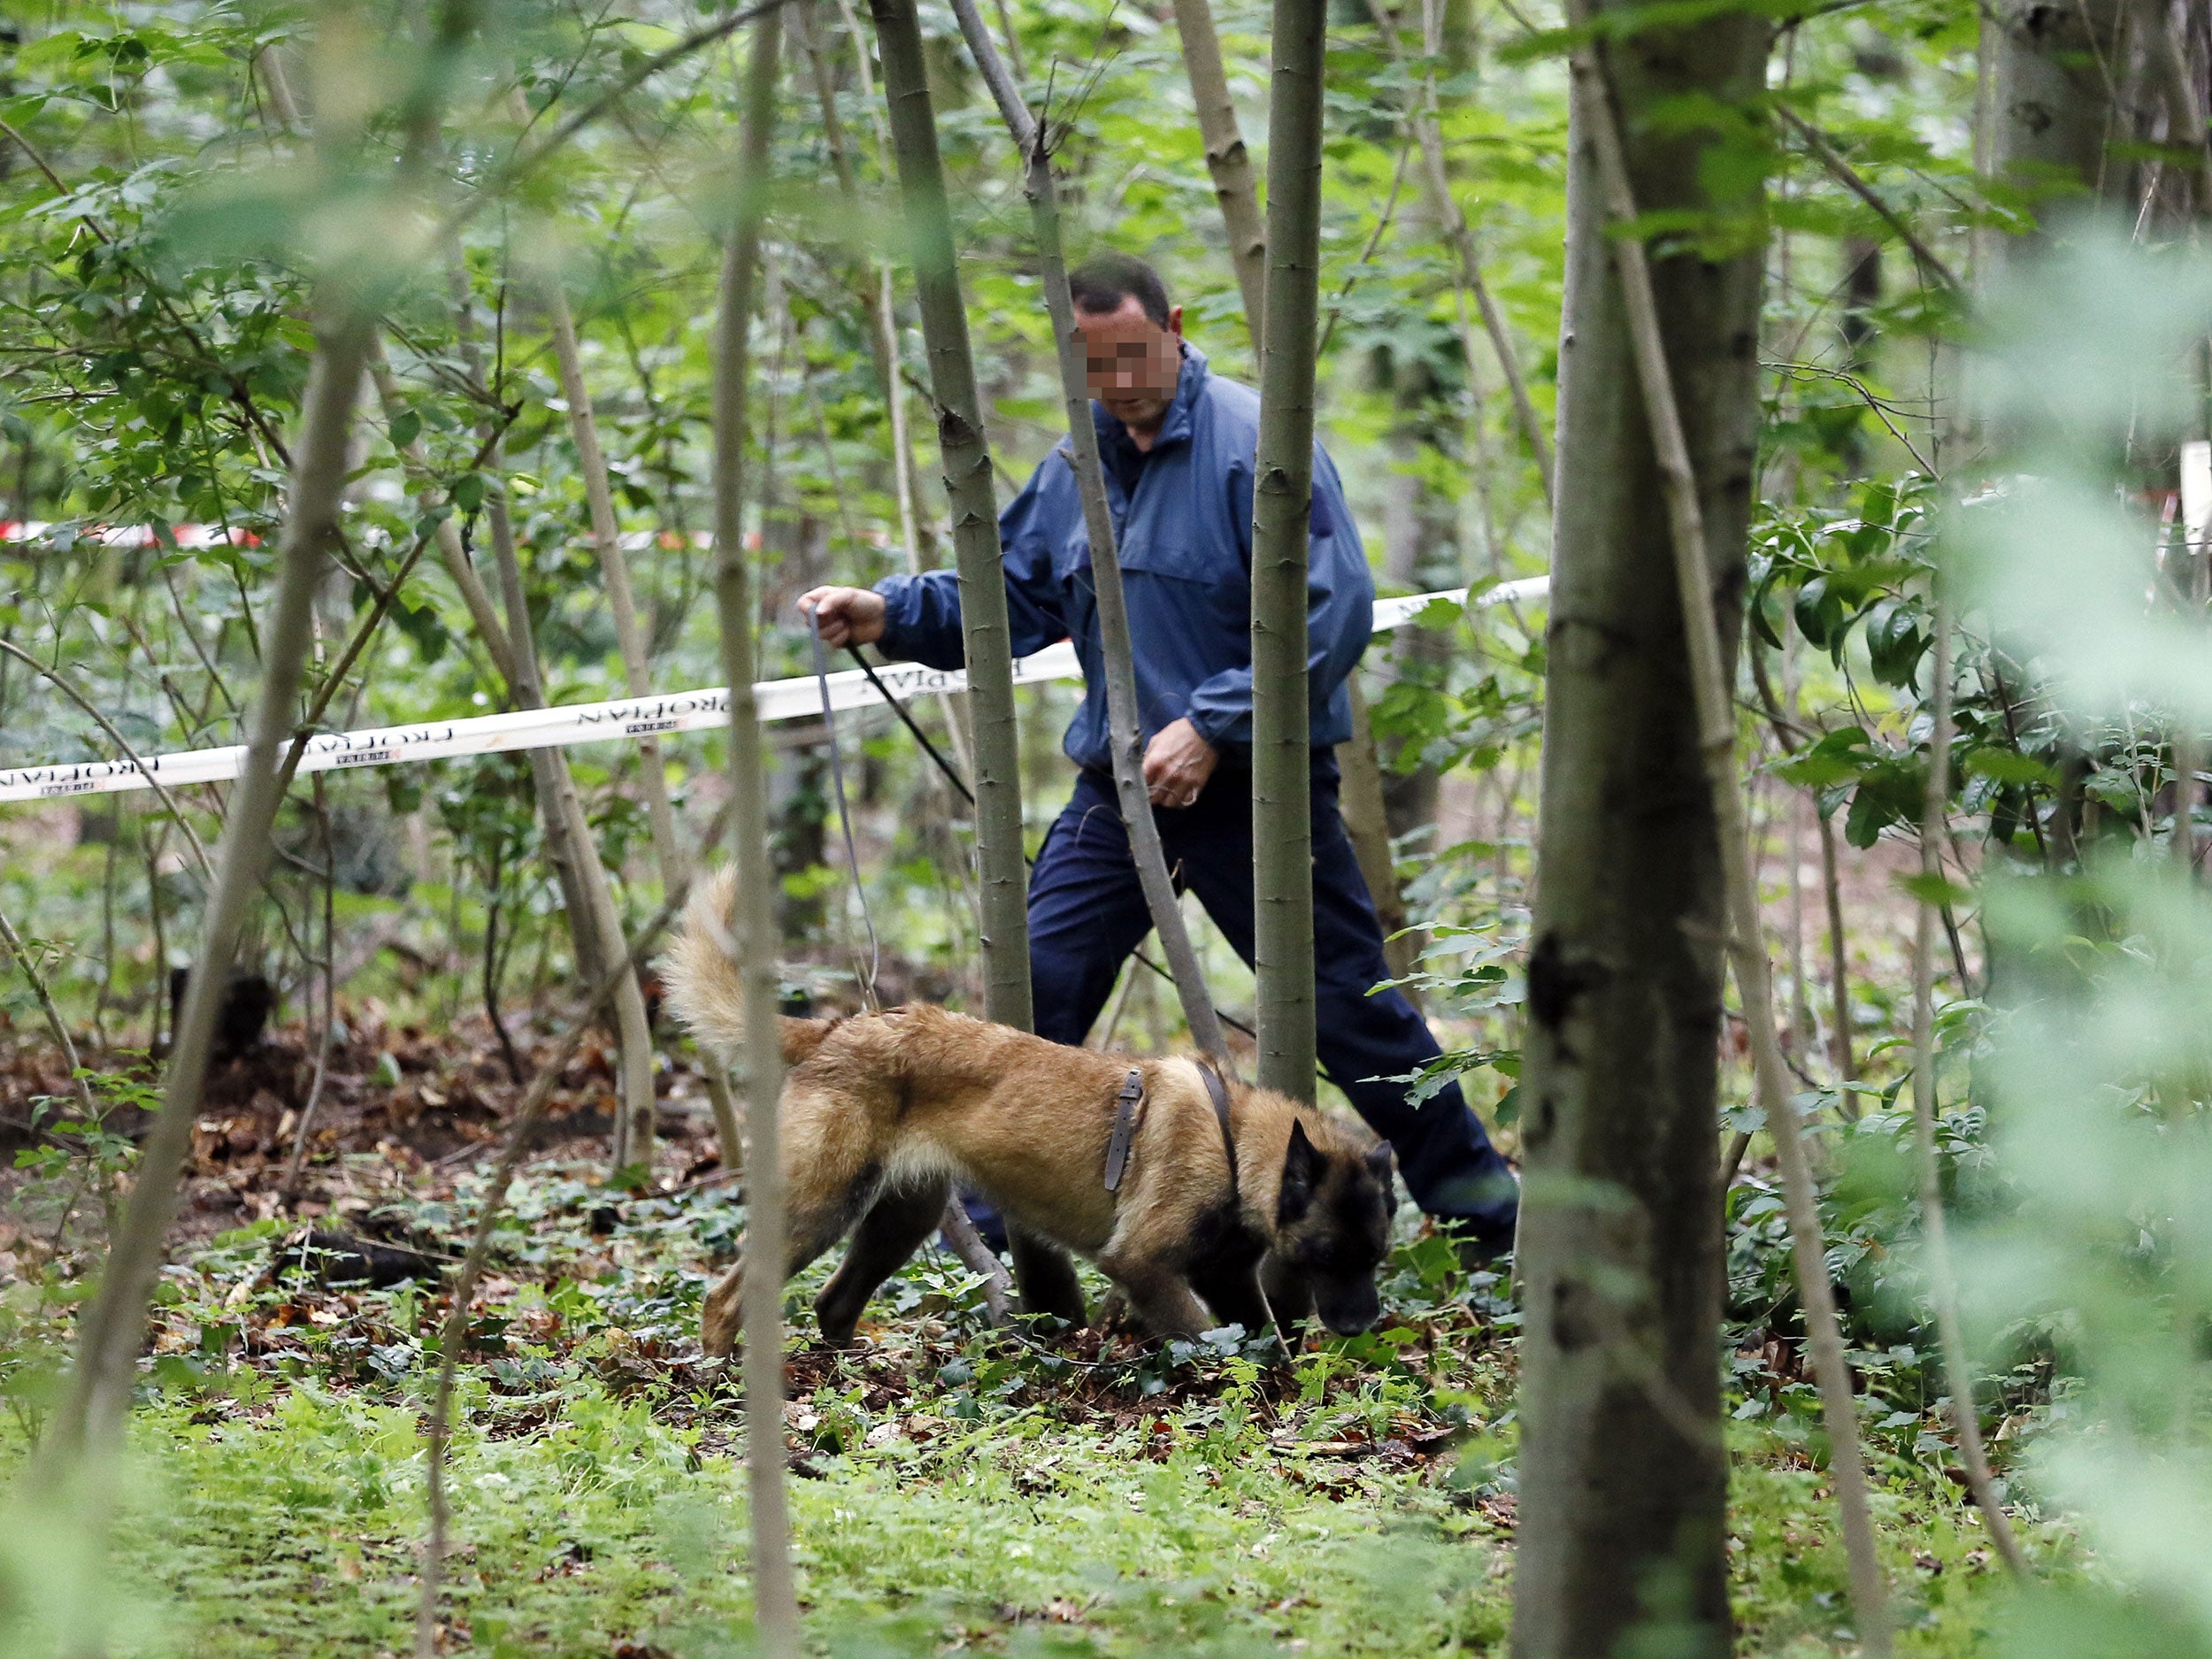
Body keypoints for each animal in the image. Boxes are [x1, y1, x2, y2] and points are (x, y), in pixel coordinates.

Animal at [655, 872, 1389, 1354]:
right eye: (1327, 1253)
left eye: (1377, 1255)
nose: (1360, 1327)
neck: (1230, 1135)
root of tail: (838, 1028)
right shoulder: (1143, 1264)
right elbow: (1207, 1339)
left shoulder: (1227, 1274)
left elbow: (1262, 1340)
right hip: (818, 1208)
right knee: (725, 1299)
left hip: (900, 1219)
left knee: (832, 1303)